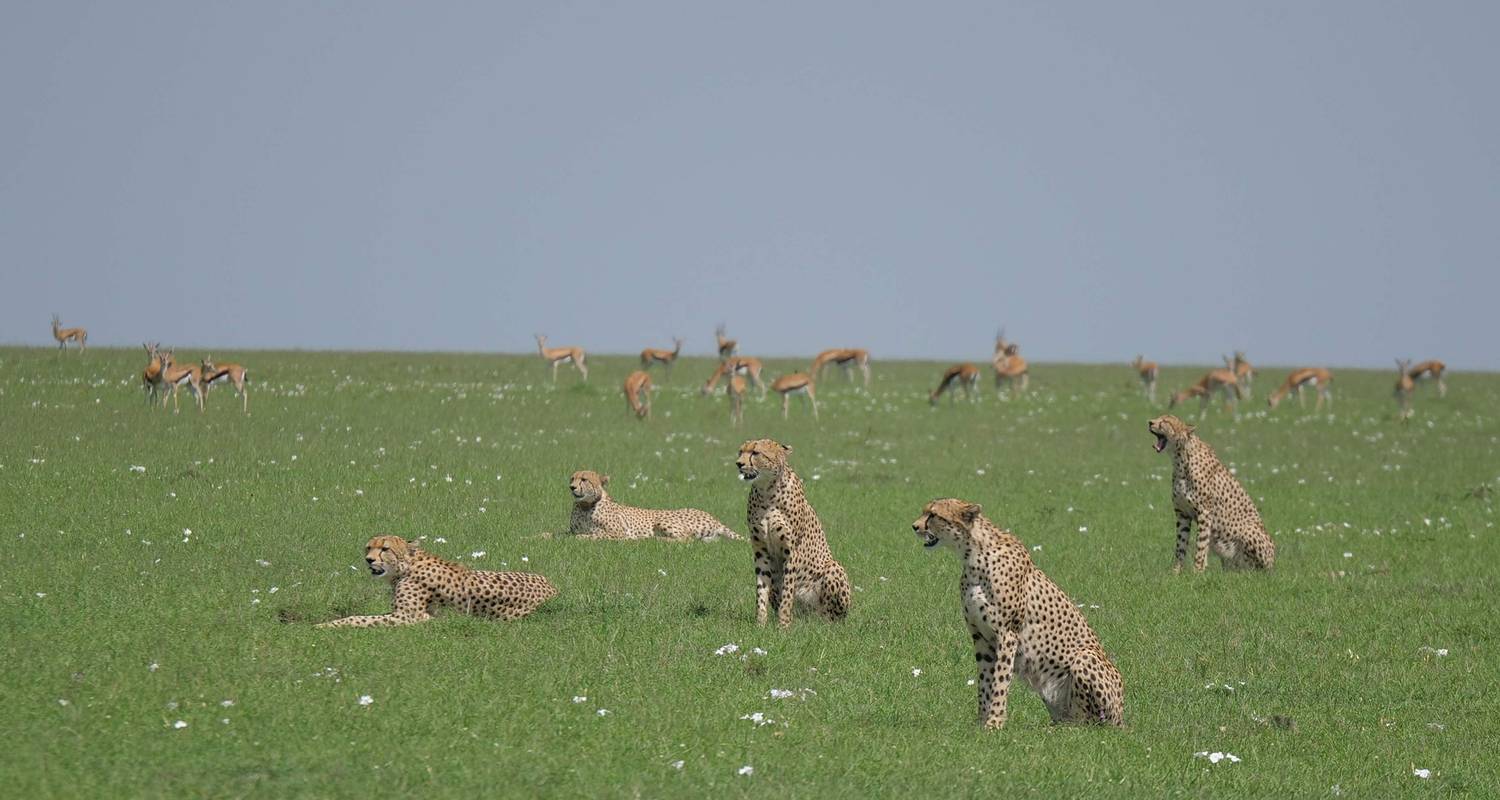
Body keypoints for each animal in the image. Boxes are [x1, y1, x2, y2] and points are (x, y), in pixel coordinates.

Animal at [316, 534, 558, 627]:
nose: (368, 560)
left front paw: (325, 625)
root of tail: (553, 588)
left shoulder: (406, 617)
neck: (407, 567)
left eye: (385, 549)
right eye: (368, 547)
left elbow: (359, 619)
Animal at [564, 471, 741, 540]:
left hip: (662, 520)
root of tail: (713, 517)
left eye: (584, 479)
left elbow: (595, 534)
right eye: (572, 478)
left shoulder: (619, 532)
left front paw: (583, 537)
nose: (571, 487)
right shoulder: (572, 529)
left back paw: (656, 539)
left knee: (686, 539)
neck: (585, 506)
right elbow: (563, 534)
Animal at [735, 441, 852, 627]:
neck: (767, 489)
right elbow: (761, 590)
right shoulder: (761, 551)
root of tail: (809, 618)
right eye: (740, 451)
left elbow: (788, 591)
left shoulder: (791, 551)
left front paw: (783, 626)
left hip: (833, 568)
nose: (739, 464)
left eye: (755, 452)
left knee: (831, 617)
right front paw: (760, 624)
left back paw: (824, 624)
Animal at [906, 498, 1122, 729]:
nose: (914, 526)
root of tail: (1123, 719)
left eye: (933, 515)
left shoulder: (1007, 633)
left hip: (1085, 658)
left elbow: (1000, 680)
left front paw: (994, 722)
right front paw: (981, 722)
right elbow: (984, 682)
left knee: (1090, 724)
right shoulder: (981, 637)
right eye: (924, 512)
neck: (973, 555)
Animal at [1146, 414, 1278, 570]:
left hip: (1249, 531)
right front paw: (1176, 571)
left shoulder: (1204, 512)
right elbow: (1180, 545)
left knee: (1256, 570)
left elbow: (1201, 545)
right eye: (1158, 417)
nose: (1150, 422)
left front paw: (1197, 571)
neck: (1180, 459)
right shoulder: (1182, 513)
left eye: (1165, 421)